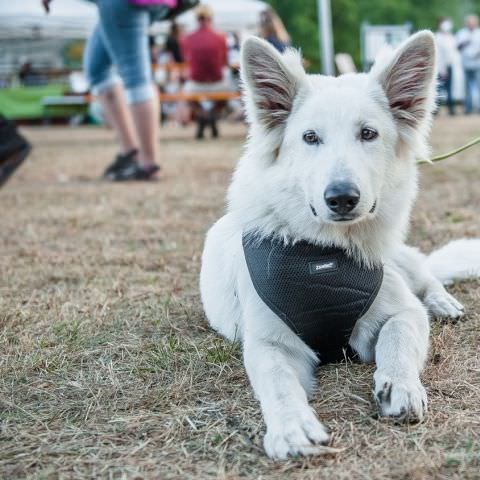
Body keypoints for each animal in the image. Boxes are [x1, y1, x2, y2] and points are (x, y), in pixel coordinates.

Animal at [200, 31, 480, 460]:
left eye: (368, 134)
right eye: (310, 138)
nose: (342, 198)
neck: (323, 255)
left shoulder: (402, 312)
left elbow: (399, 339)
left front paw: (400, 384)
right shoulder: (268, 342)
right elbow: (278, 382)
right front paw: (292, 426)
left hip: (400, 260)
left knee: (426, 276)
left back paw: (442, 302)